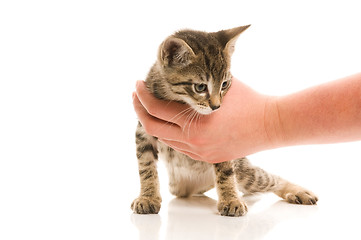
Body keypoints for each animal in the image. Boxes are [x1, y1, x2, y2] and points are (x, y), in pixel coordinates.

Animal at [131, 25, 316, 217]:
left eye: (225, 84)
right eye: (200, 87)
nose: (216, 107)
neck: (179, 101)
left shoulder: (220, 144)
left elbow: (226, 171)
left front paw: (231, 199)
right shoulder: (143, 131)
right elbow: (146, 167)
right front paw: (147, 197)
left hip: (245, 173)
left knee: (269, 178)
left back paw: (296, 191)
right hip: (181, 187)